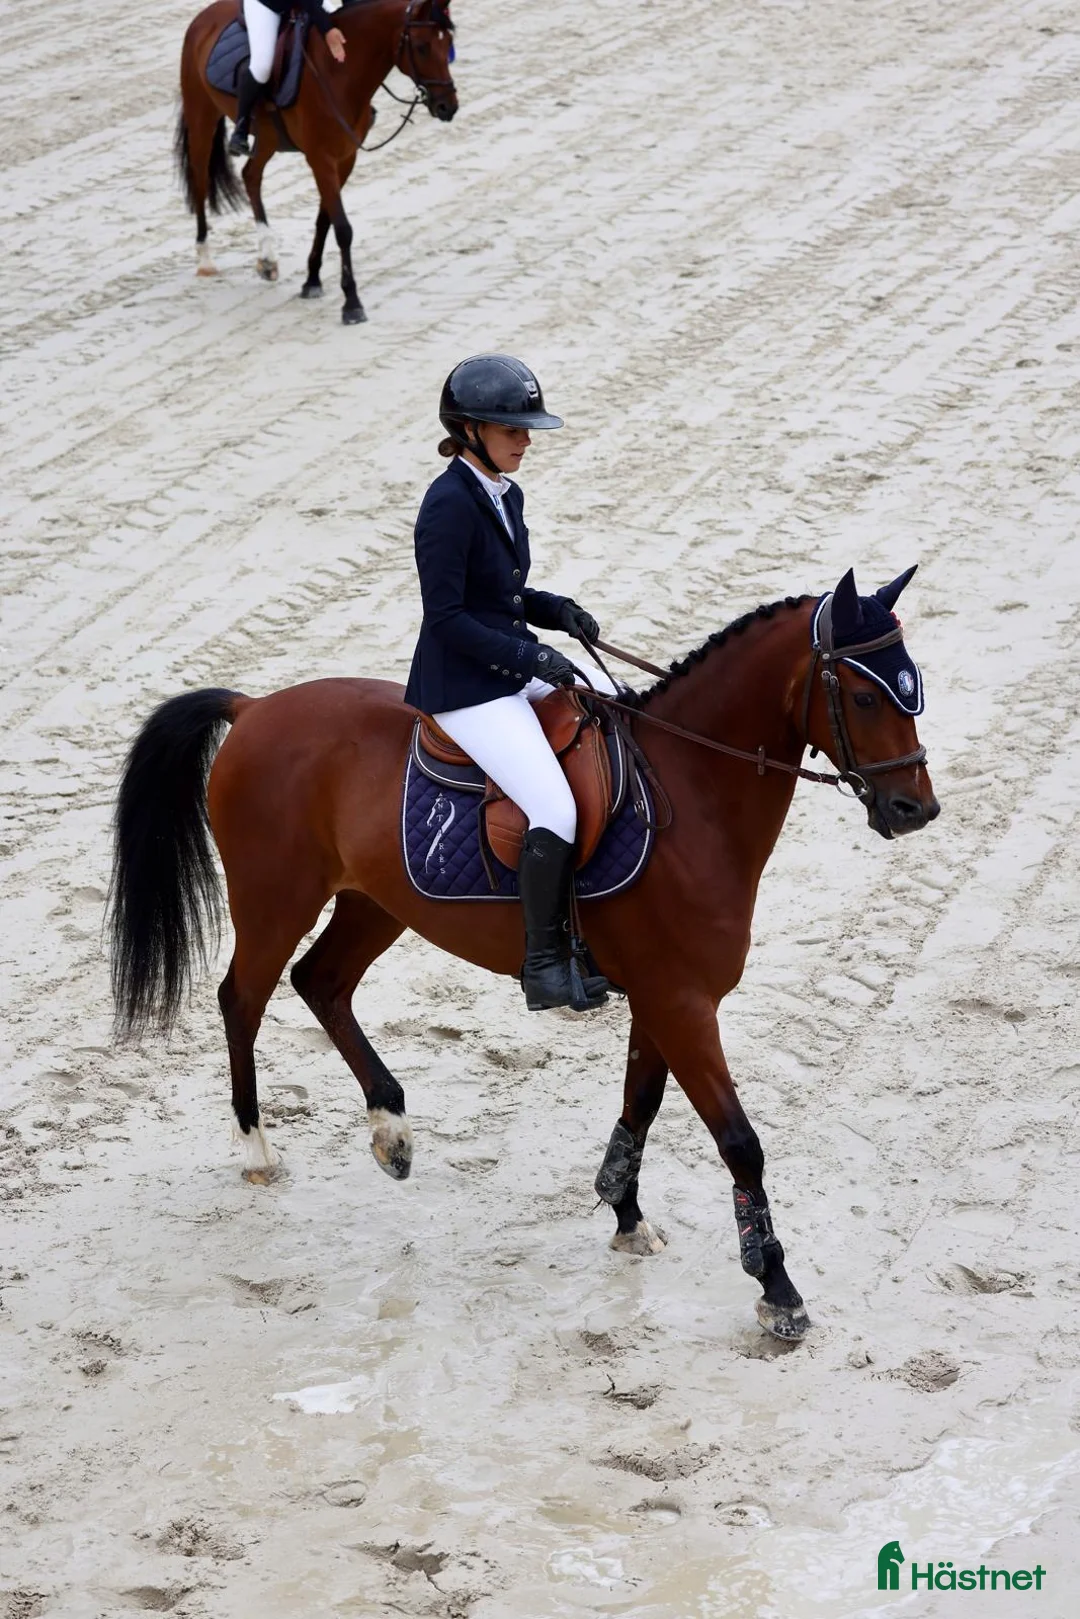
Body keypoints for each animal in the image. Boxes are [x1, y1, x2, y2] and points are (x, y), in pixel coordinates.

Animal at [109, 568, 938, 1342]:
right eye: (864, 697)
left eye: (911, 686)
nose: (916, 809)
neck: (692, 791)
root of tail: (253, 708)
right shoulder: (682, 1002)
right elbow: (740, 1143)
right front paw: (778, 1291)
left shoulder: (660, 999)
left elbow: (639, 1105)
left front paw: (625, 1213)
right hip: (276, 899)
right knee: (243, 997)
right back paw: (258, 1148)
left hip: (376, 900)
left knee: (323, 981)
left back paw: (392, 1132)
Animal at [175, 0, 457, 322]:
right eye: (422, 47)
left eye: (448, 44)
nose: (448, 107)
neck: (340, 72)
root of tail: (202, 19)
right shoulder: (320, 159)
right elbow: (343, 229)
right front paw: (352, 303)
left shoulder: (345, 158)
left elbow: (325, 221)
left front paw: (312, 281)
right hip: (201, 115)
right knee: (199, 180)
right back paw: (205, 260)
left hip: (268, 136)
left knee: (251, 175)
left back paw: (268, 259)